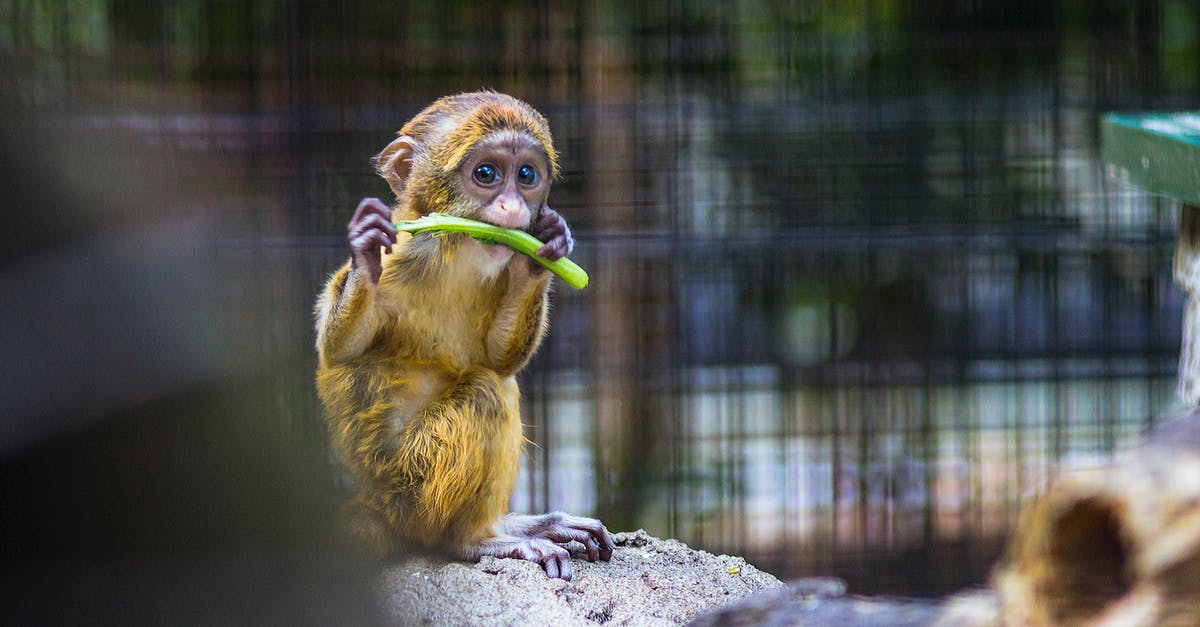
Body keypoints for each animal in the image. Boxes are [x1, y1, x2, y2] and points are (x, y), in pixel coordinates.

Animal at [314, 90, 614, 578]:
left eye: (526, 175)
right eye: (486, 174)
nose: (513, 208)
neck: (455, 251)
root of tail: (378, 504)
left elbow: (497, 358)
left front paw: (543, 250)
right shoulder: (405, 254)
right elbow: (340, 351)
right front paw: (364, 253)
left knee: (496, 382)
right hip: (413, 482)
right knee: (486, 394)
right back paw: (473, 540)